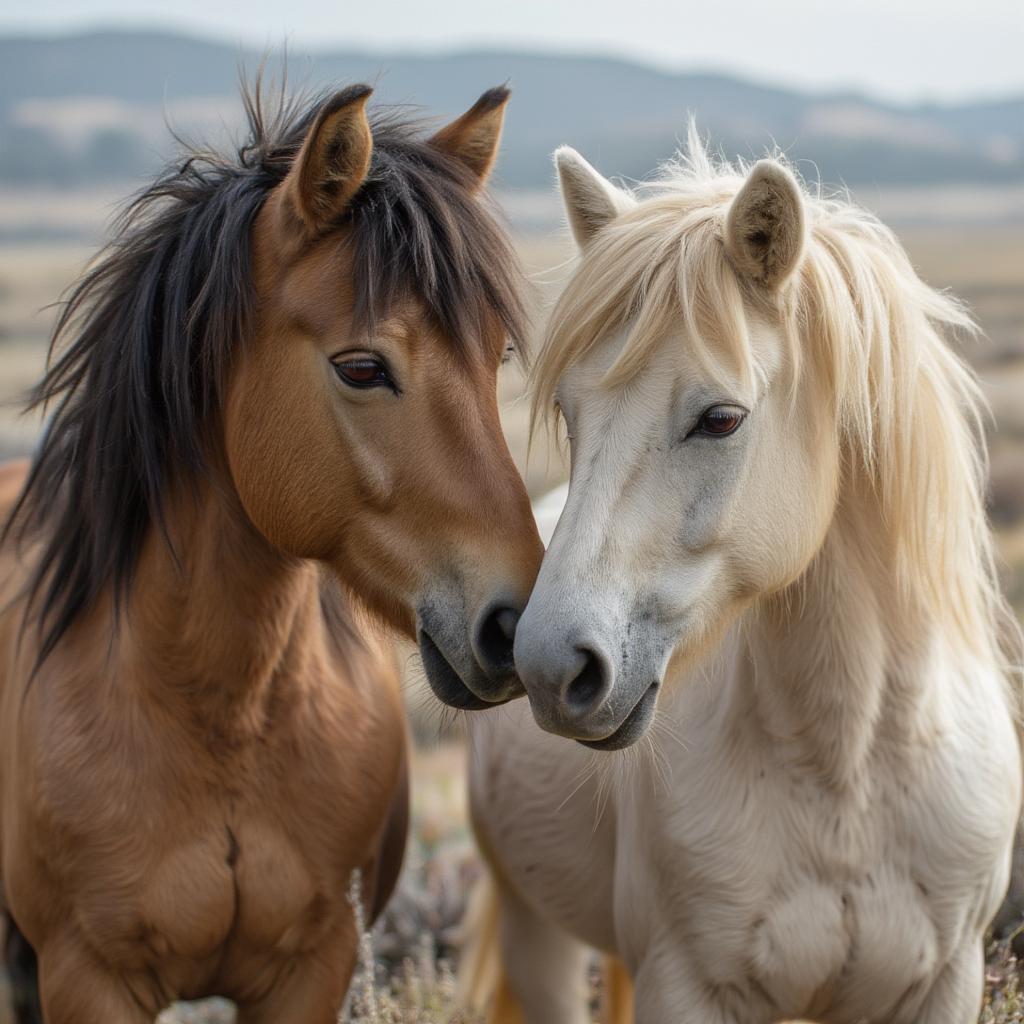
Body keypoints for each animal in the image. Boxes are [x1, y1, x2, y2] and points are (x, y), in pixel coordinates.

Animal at [0, 81, 544, 1024]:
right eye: (362, 368)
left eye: (495, 354)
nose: (518, 625)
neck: (224, 717)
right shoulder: (87, 979)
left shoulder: (313, 969)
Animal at [466, 136, 1024, 1024]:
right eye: (569, 413)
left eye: (720, 419)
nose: (550, 667)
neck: (846, 775)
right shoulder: (686, 985)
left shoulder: (945, 982)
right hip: (535, 931)